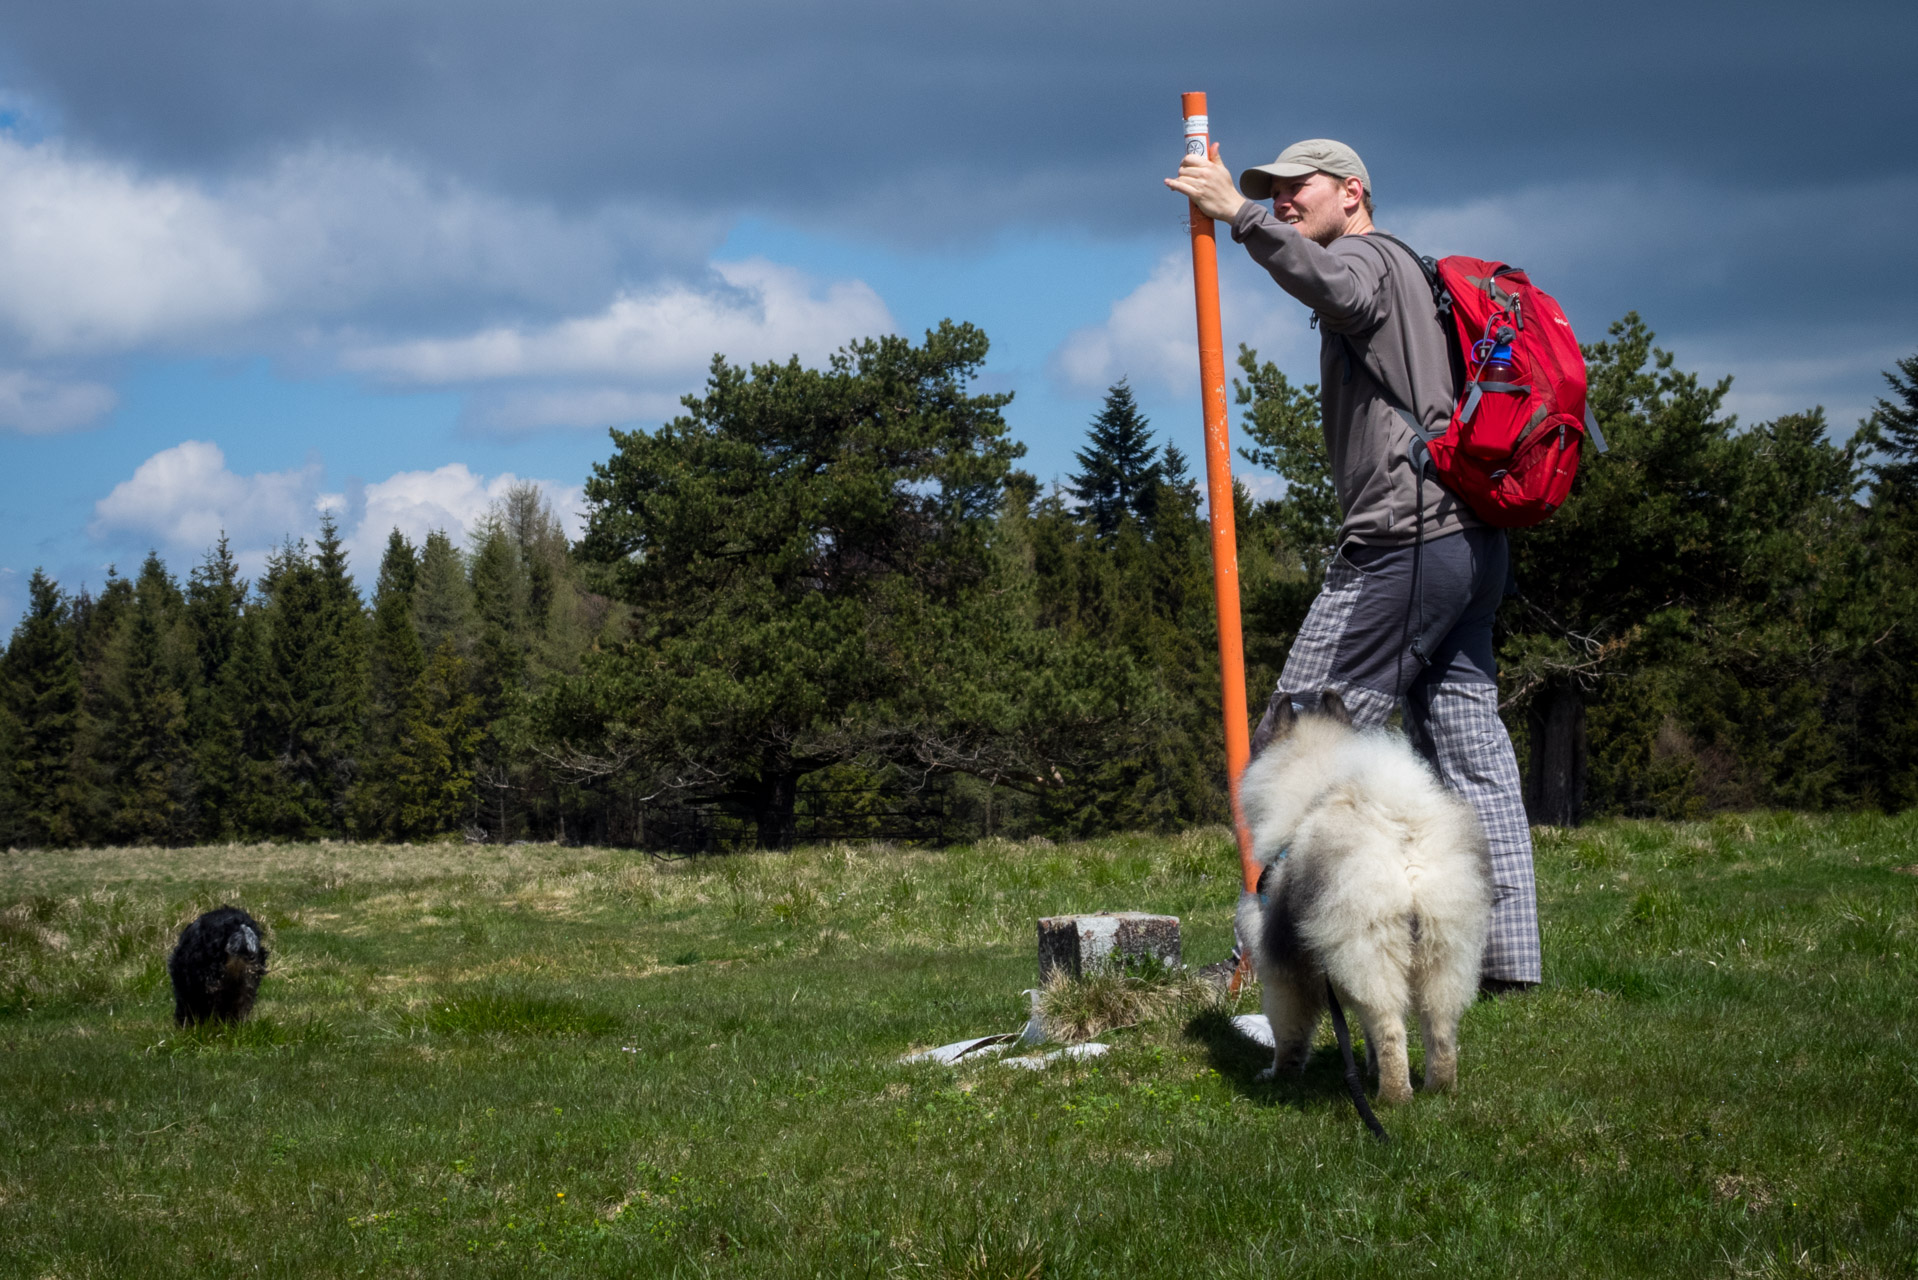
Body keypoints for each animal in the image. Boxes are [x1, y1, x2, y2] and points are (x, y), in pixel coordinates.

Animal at [1235, 690, 1488, 1105]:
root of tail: (1403, 840)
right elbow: (1366, 1036)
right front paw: (1368, 1069)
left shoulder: (1280, 973)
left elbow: (1288, 1034)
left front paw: (1279, 1075)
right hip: (1445, 952)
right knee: (1439, 1028)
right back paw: (1439, 1087)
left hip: (1371, 950)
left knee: (1391, 1028)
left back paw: (1394, 1096)